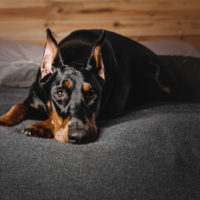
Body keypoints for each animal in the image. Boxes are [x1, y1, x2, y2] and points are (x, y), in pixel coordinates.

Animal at [0, 28, 200, 143]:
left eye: (92, 94)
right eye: (59, 93)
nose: (79, 136)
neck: (76, 56)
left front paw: (40, 126)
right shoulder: (35, 97)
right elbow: (18, 105)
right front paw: (5, 118)